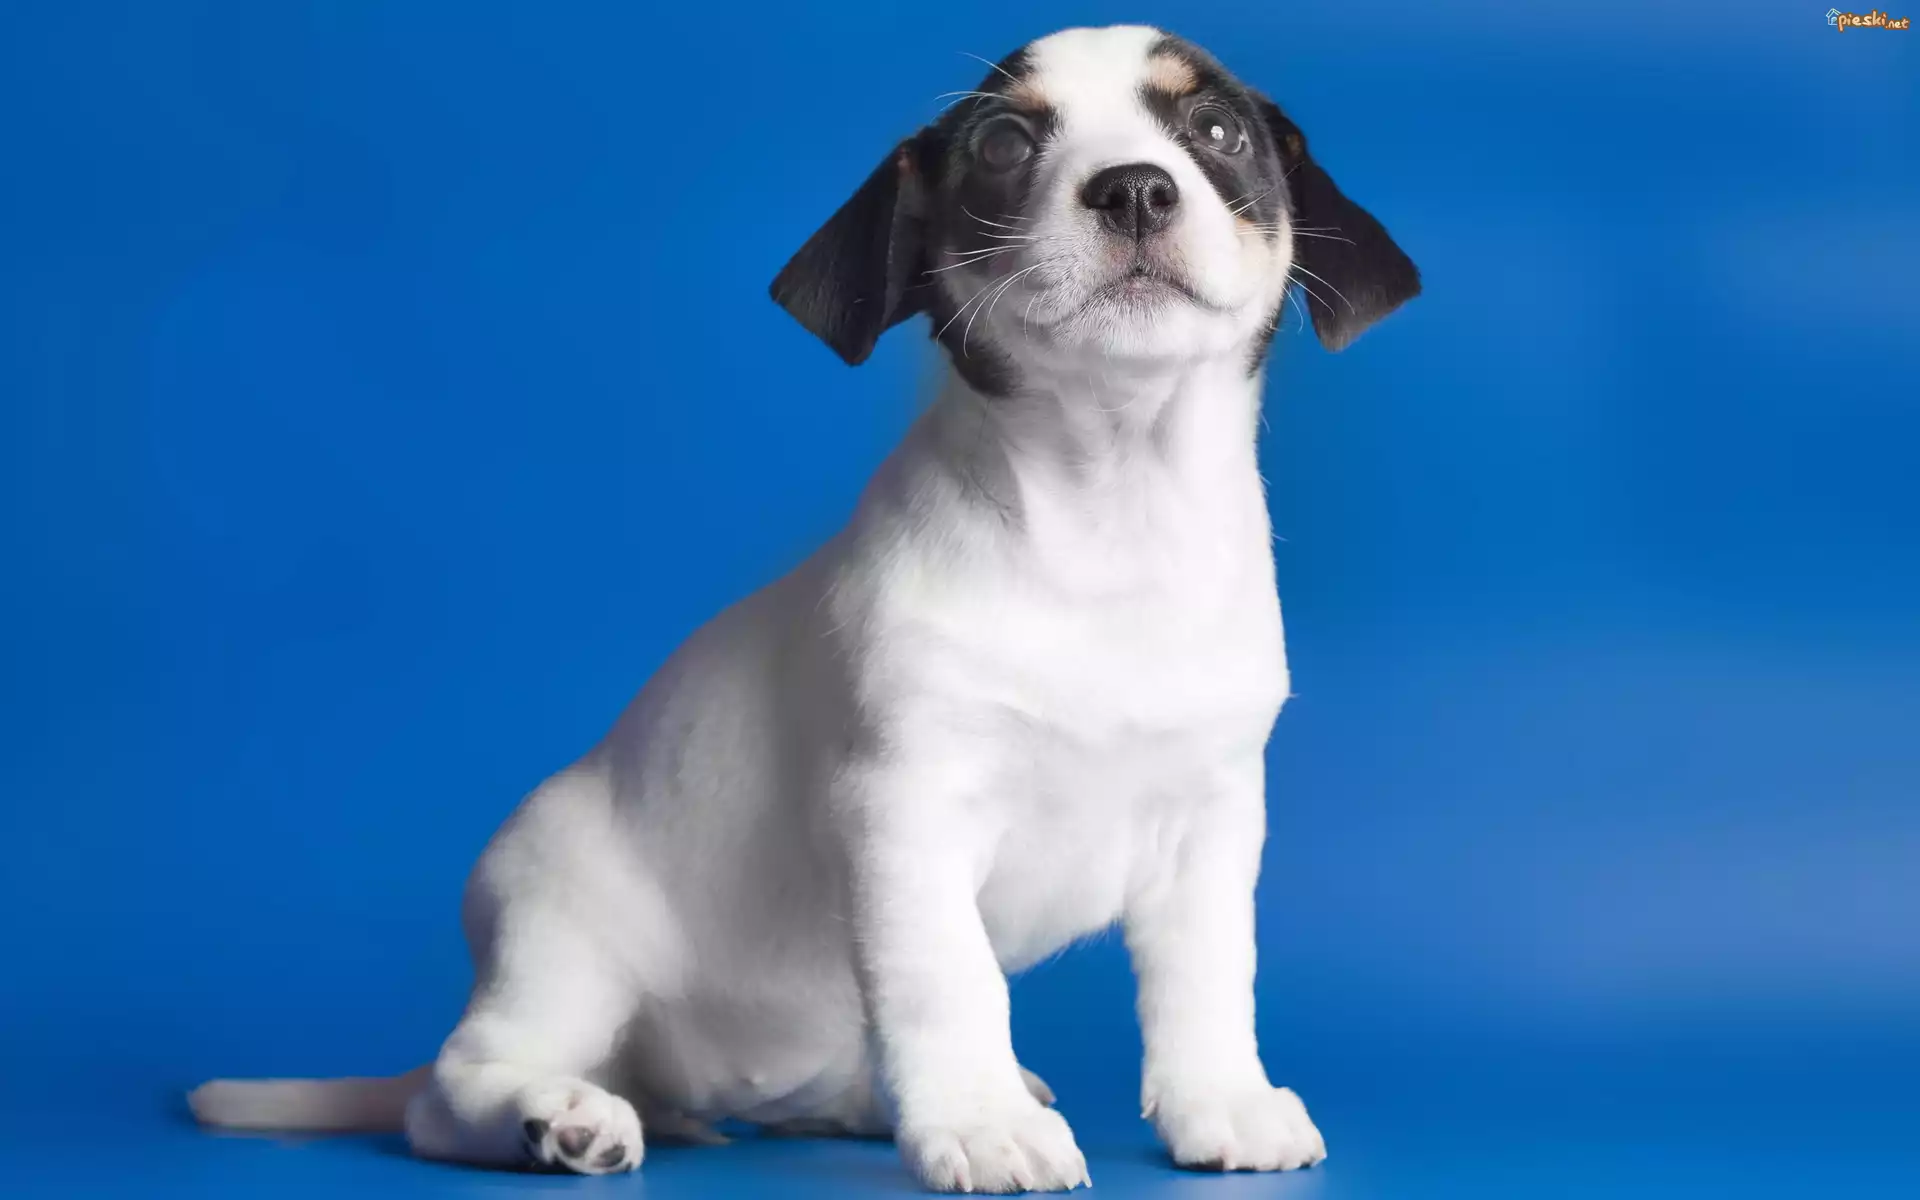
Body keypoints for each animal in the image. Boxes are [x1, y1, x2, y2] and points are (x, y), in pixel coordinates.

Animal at [189, 25, 1419, 1192]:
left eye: (1216, 134)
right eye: (1004, 146)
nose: (1133, 188)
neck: (1108, 515)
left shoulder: (1211, 823)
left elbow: (1208, 980)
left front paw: (1222, 1101)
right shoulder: (908, 814)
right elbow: (949, 984)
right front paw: (979, 1124)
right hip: (562, 950)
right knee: (450, 1092)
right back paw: (557, 1119)